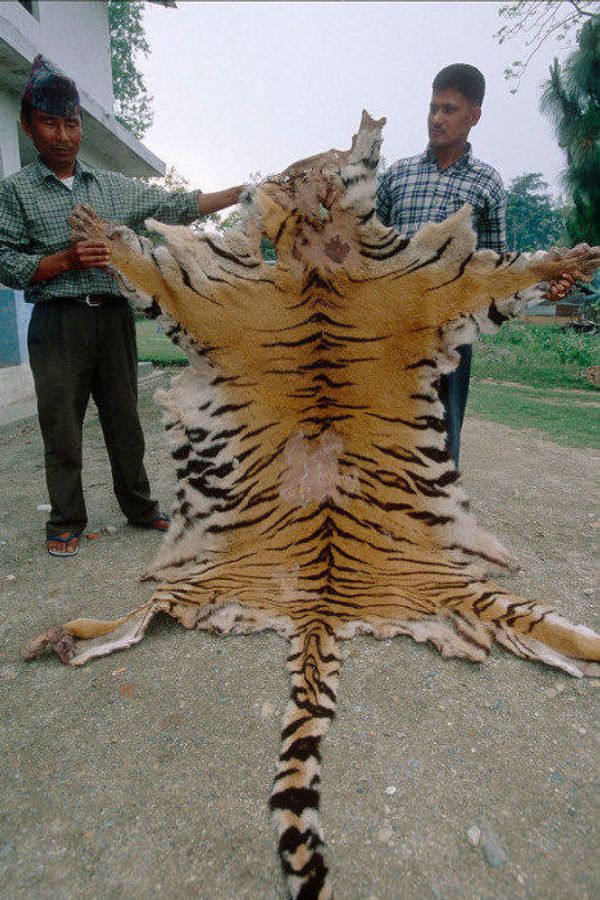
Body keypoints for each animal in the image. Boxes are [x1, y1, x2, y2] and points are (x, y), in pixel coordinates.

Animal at [22, 111, 600, 900]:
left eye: (311, 163)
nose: (278, 175)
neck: (320, 257)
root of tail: (323, 605)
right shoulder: (207, 298)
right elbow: (145, 266)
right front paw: (95, 230)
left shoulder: (442, 289)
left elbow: (517, 273)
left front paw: (573, 261)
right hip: (207, 584)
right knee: (134, 620)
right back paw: (60, 639)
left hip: (450, 590)